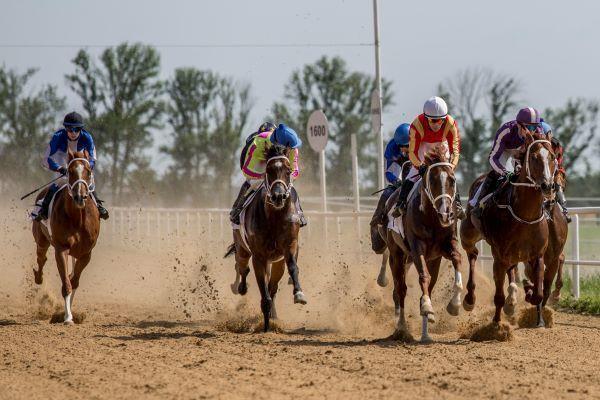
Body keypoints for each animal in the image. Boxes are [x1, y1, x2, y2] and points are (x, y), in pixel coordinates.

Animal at [31, 151, 100, 324]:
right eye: (70, 171)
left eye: (88, 171)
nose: (80, 197)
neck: (77, 218)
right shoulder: (61, 249)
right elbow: (67, 284)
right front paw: (68, 317)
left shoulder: (86, 253)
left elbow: (73, 281)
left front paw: (70, 313)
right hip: (41, 239)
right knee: (41, 258)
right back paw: (38, 277)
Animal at [224, 144, 308, 332]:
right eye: (268, 171)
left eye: (288, 171)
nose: (278, 196)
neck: (274, 217)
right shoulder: (259, 256)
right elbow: (264, 291)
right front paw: (266, 324)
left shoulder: (288, 248)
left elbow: (292, 268)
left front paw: (299, 293)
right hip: (242, 249)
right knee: (242, 267)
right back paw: (240, 287)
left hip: (275, 261)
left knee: (272, 286)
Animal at [384, 145, 464, 342]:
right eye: (432, 180)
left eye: (452, 180)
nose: (446, 214)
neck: (433, 218)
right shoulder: (416, 247)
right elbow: (423, 277)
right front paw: (427, 306)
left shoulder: (447, 246)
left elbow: (457, 259)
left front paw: (454, 304)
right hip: (397, 255)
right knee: (400, 290)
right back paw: (402, 327)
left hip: (432, 259)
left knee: (429, 284)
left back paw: (425, 333)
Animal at [462, 133, 556, 326]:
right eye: (534, 157)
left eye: (551, 156)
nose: (548, 186)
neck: (526, 216)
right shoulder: (499, 256)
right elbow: (498, 296)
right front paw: (497, 324)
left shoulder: (538, 255)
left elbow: (538, 294)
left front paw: (527, 293)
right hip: (468, 235)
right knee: (472, 254)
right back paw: (469, 299)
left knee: (510, 269)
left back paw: (512, 300)